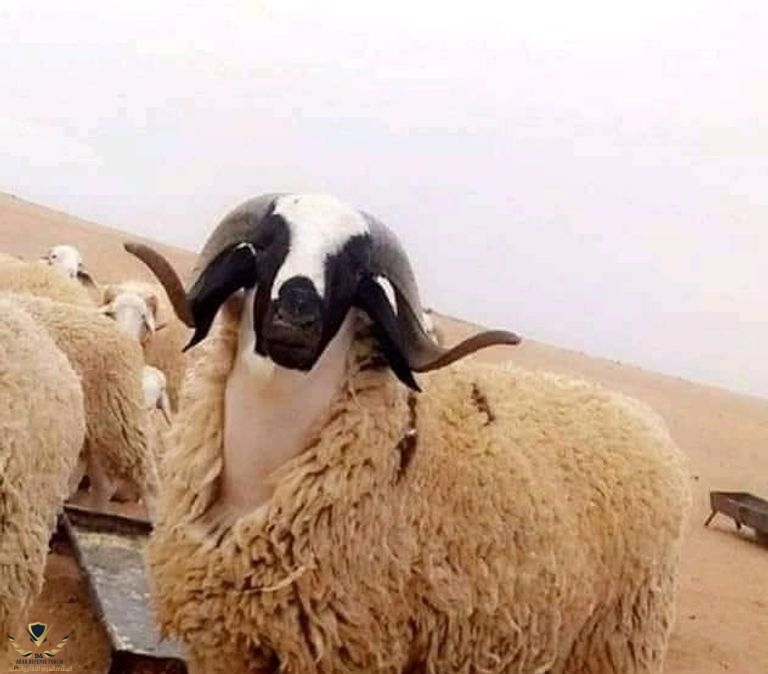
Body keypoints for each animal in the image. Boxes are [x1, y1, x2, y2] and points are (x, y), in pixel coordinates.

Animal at [126, 192, 691, 674]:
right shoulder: (227, 643)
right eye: (266, 246)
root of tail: (646, 420)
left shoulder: (344, 650)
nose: (296, 315)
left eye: (355, 271)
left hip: (617, 644)